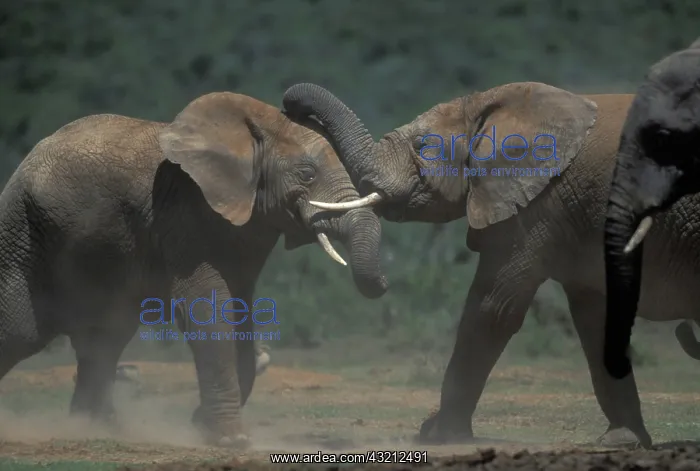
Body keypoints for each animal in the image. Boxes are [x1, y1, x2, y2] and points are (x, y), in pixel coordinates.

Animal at [0, 91, 388, 448]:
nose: (384, 282)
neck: (250, 133)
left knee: (106, 338)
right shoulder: (184, 210)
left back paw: (97, 428)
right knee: (22, 329)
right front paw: (231, 440)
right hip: (24, 230)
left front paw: (201, 425)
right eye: (306, 175)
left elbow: (240, 311)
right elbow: (209, 310)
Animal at [279, 81, 700, 448]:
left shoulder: (541, 201)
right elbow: (594, 321)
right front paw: (622, 441)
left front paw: (438, 435)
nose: (289, 109)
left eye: (423, 146)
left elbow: (492, 308)